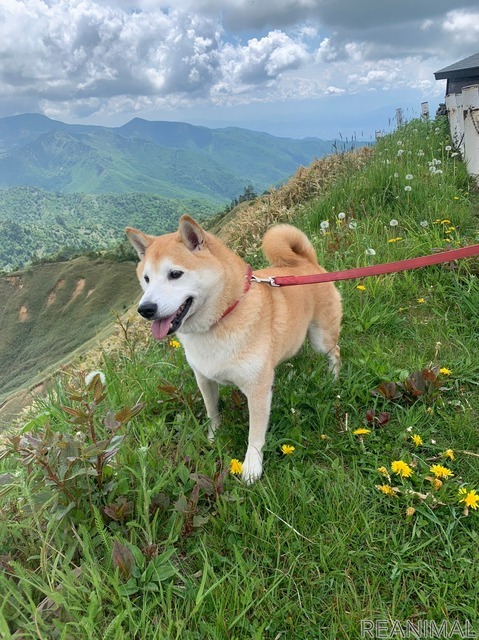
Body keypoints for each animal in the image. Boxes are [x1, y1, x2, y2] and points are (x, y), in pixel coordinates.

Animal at [125, 218, 344, 482]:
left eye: (175, 274)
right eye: (146, 279)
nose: (145, 309)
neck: (220, 321)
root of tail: (306, 262)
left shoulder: (257, 389)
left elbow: (255, 435)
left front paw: (252, 466)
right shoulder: (204, 378)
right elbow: (212, 411)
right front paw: (214, 437)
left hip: (321, 338)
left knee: (335, 352)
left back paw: (333, 379)